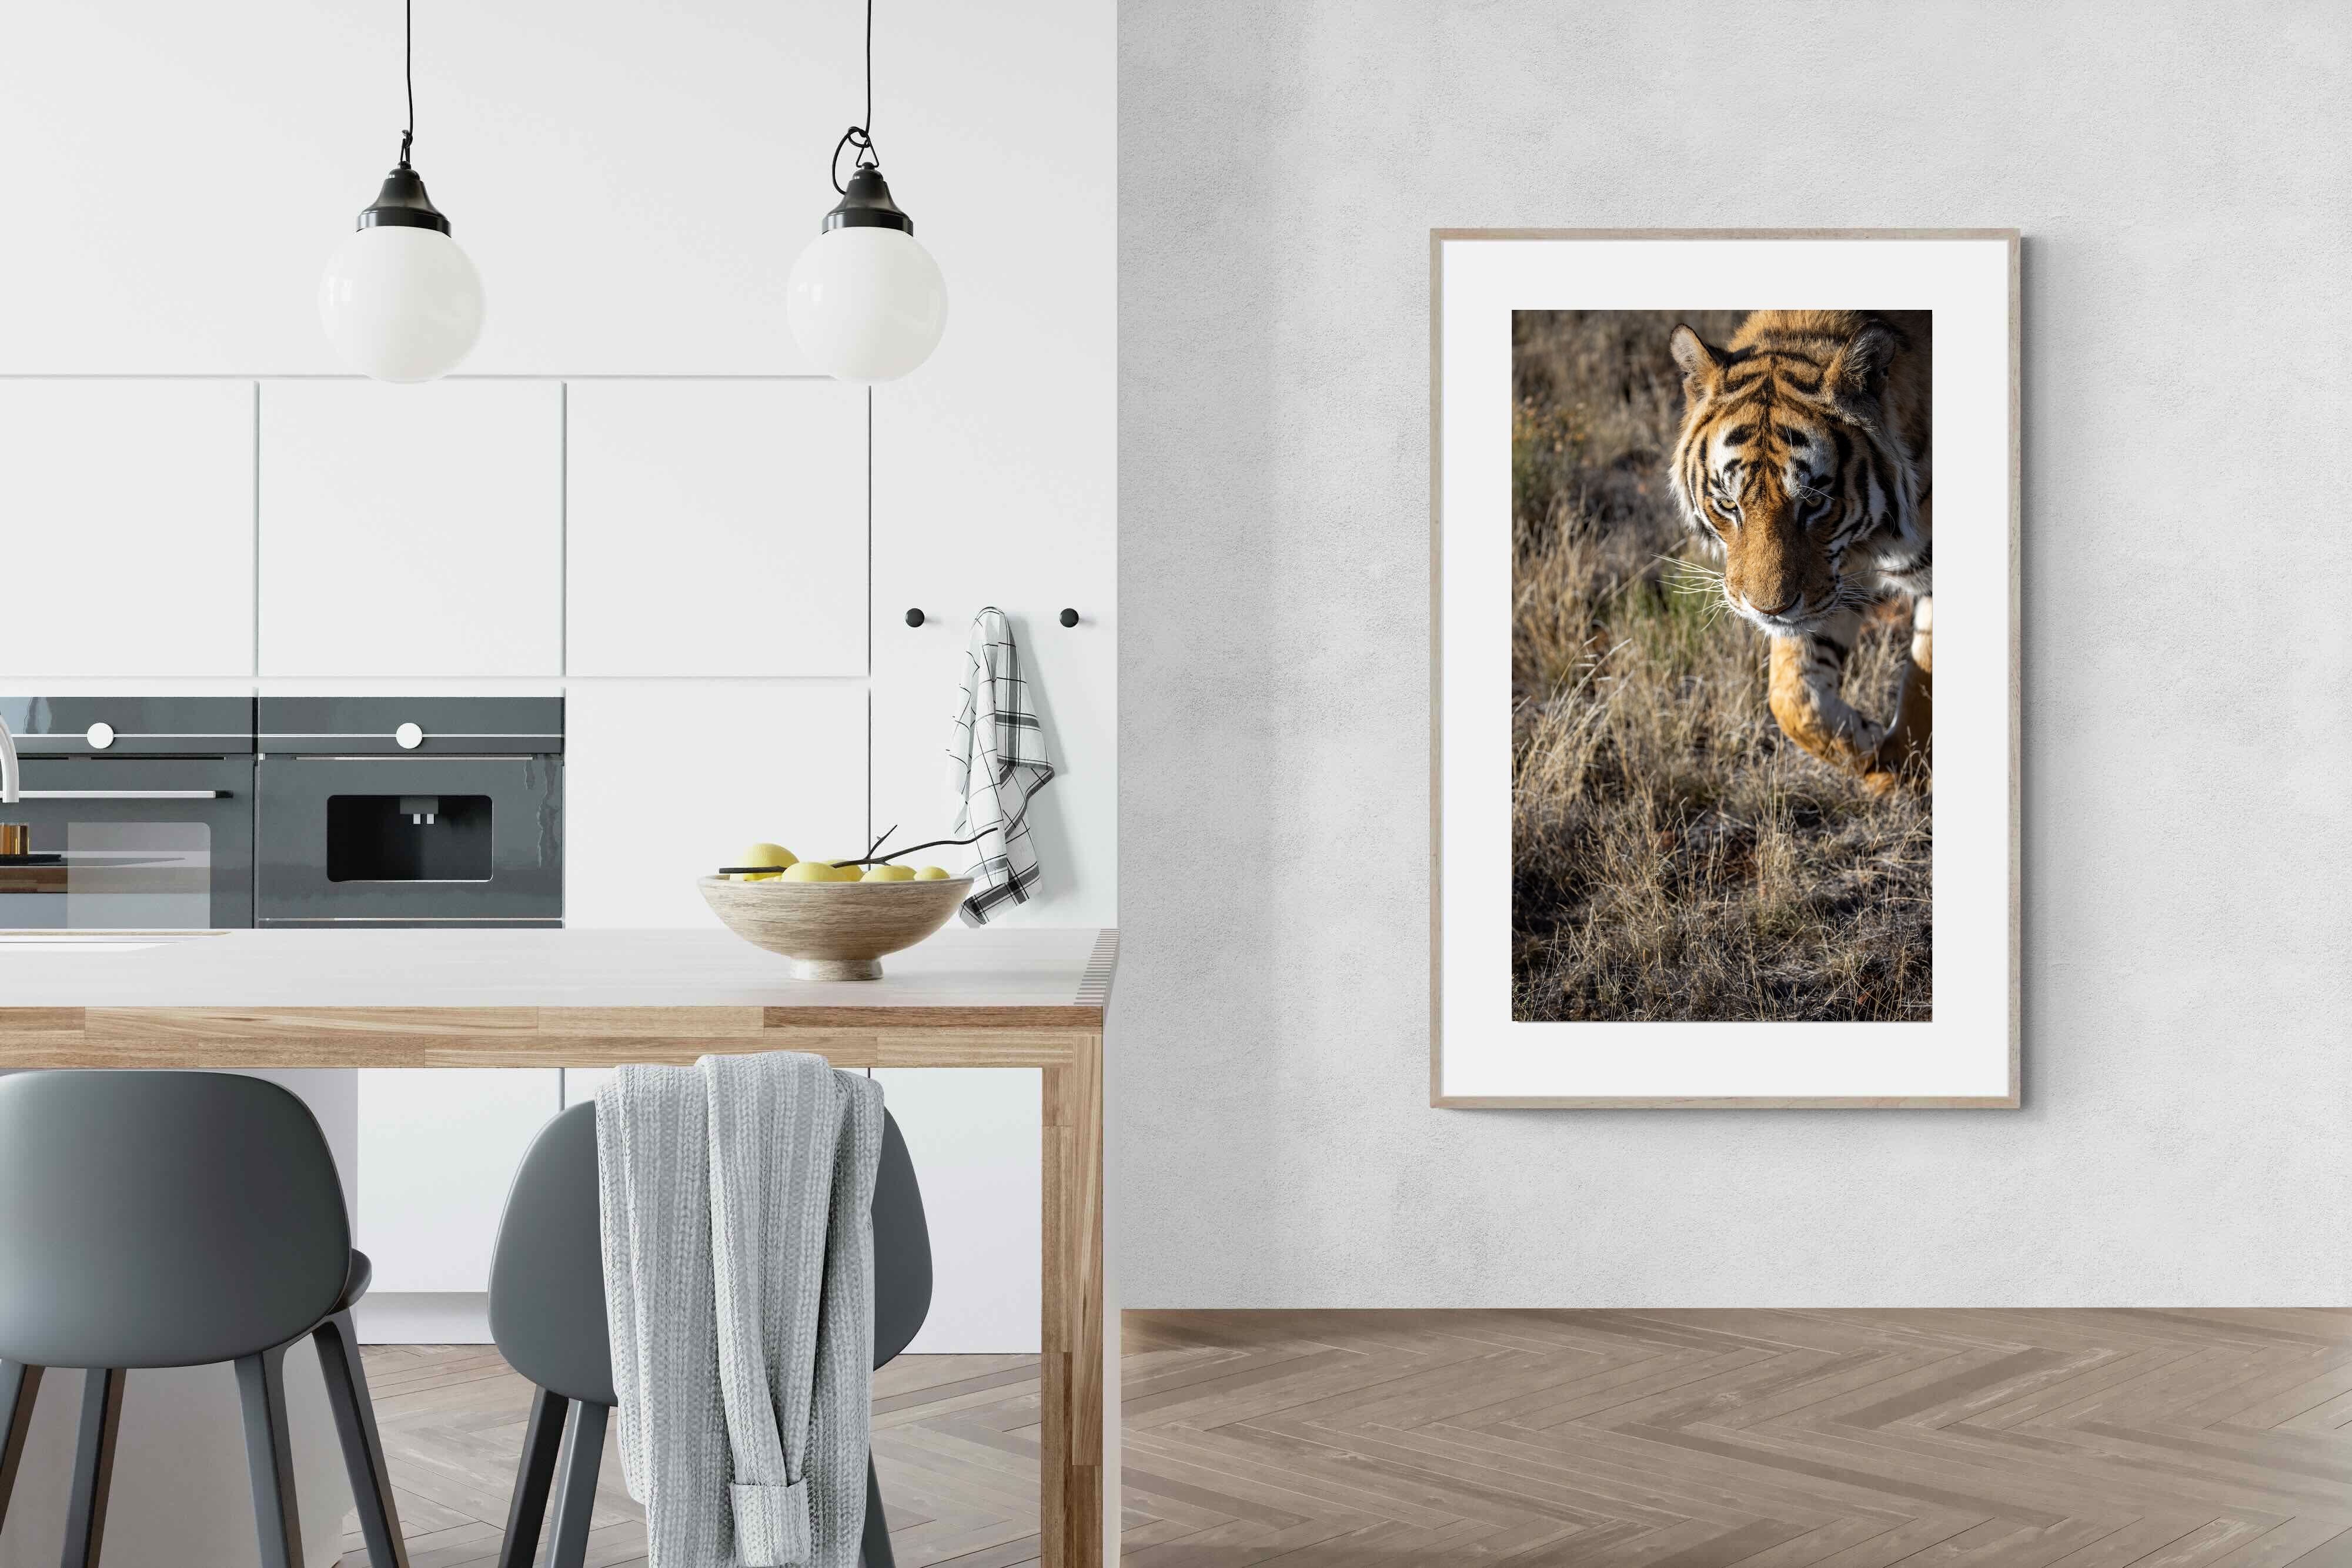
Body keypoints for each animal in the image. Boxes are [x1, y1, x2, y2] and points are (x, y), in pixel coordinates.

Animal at [1667, 309, 1932, 793]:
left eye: (1813, 502)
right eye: (1729, 504)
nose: (1768, 610)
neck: (1869, 543)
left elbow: (1924, 683)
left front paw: (1903, 769)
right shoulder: (1831, 586)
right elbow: (1791, 698)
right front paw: (1868, 747)